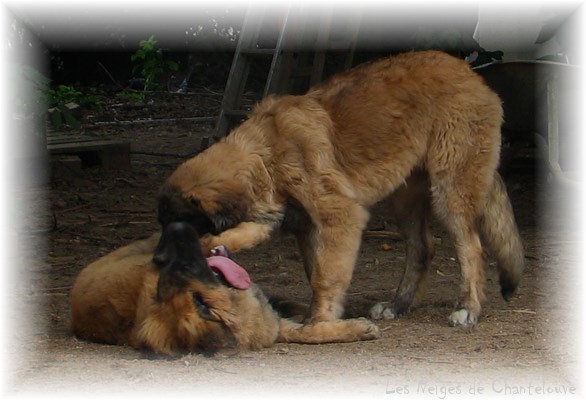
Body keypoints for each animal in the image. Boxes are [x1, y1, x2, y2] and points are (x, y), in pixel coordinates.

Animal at [156, 50, 524, 324]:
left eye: (181, 226)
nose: (158, 260)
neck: (266, 149)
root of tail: (472, 74)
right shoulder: (294, 222)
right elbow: (311, 269)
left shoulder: (340, 216)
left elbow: (325, 274)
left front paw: (320, 320)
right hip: (405, 197)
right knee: (423, 247)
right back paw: (398, 305)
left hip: (450, 191)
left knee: (472, 247)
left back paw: (468, 308)